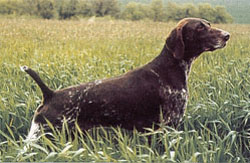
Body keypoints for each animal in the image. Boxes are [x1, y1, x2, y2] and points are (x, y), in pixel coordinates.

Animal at [22, 17, 229, 140]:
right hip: (41, 136)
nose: (227, 35)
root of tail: (50, 94)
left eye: (209, 24)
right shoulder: (167, 127)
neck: (170, 69)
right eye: (200, 28)